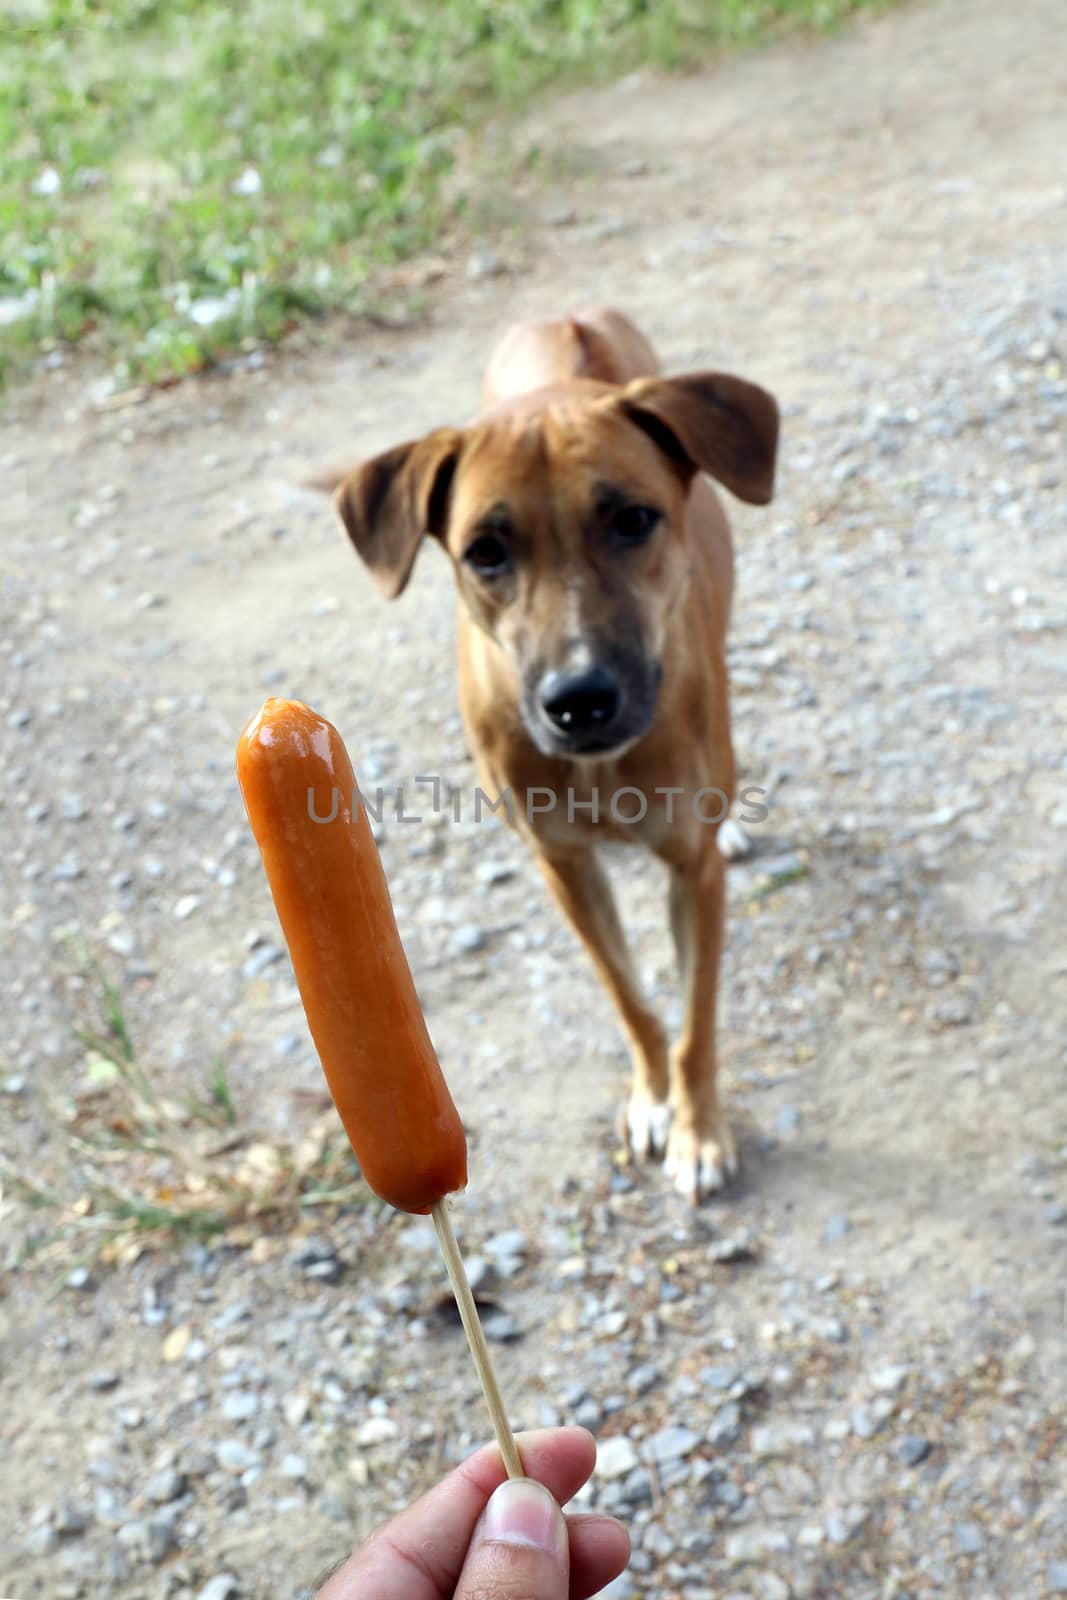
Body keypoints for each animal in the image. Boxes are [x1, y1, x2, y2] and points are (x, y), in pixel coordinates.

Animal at [326, 305, 777, 1196]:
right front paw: (652, 1099)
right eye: (484, 550)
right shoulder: (563, 864)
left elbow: (696, 1020)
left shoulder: (691, 873)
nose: (578, 699)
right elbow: (632, 999)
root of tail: (568, 320)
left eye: (632, 518)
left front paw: (699, 1132)